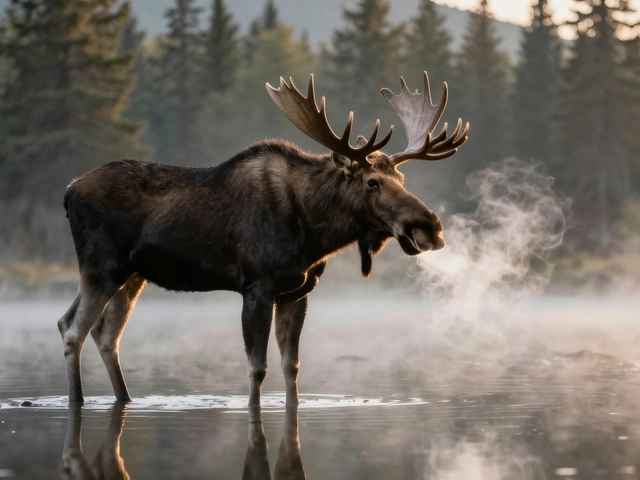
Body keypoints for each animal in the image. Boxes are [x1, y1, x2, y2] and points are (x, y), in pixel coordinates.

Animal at [57, 72, 469, 407]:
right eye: (372, 182)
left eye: (402, 179)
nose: (430, 226)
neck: (313, 231)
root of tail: (68, 192)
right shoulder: (257, 285)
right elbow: (257, 368)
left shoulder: (297, 291)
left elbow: (291, 366)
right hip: (101, 267)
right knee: (74, 331)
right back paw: (77, 400)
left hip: (131, 275)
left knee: (99, 332)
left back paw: (124, 398)